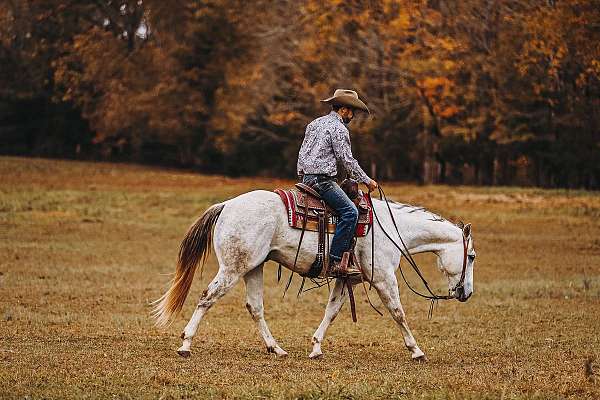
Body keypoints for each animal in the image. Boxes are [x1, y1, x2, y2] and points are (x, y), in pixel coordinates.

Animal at [152, 189, 476, 360]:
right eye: (471, 256)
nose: (466, 292)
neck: (390, 229)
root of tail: (227, 205)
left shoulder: (346, 279)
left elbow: (331, 312)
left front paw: (316, 347)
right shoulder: (383, 278)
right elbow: (398, 312)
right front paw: (417, 351)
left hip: (254, 267)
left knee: (255, 307)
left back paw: (276, 348)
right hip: (233, 268)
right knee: (207, 297)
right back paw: (185, 345)